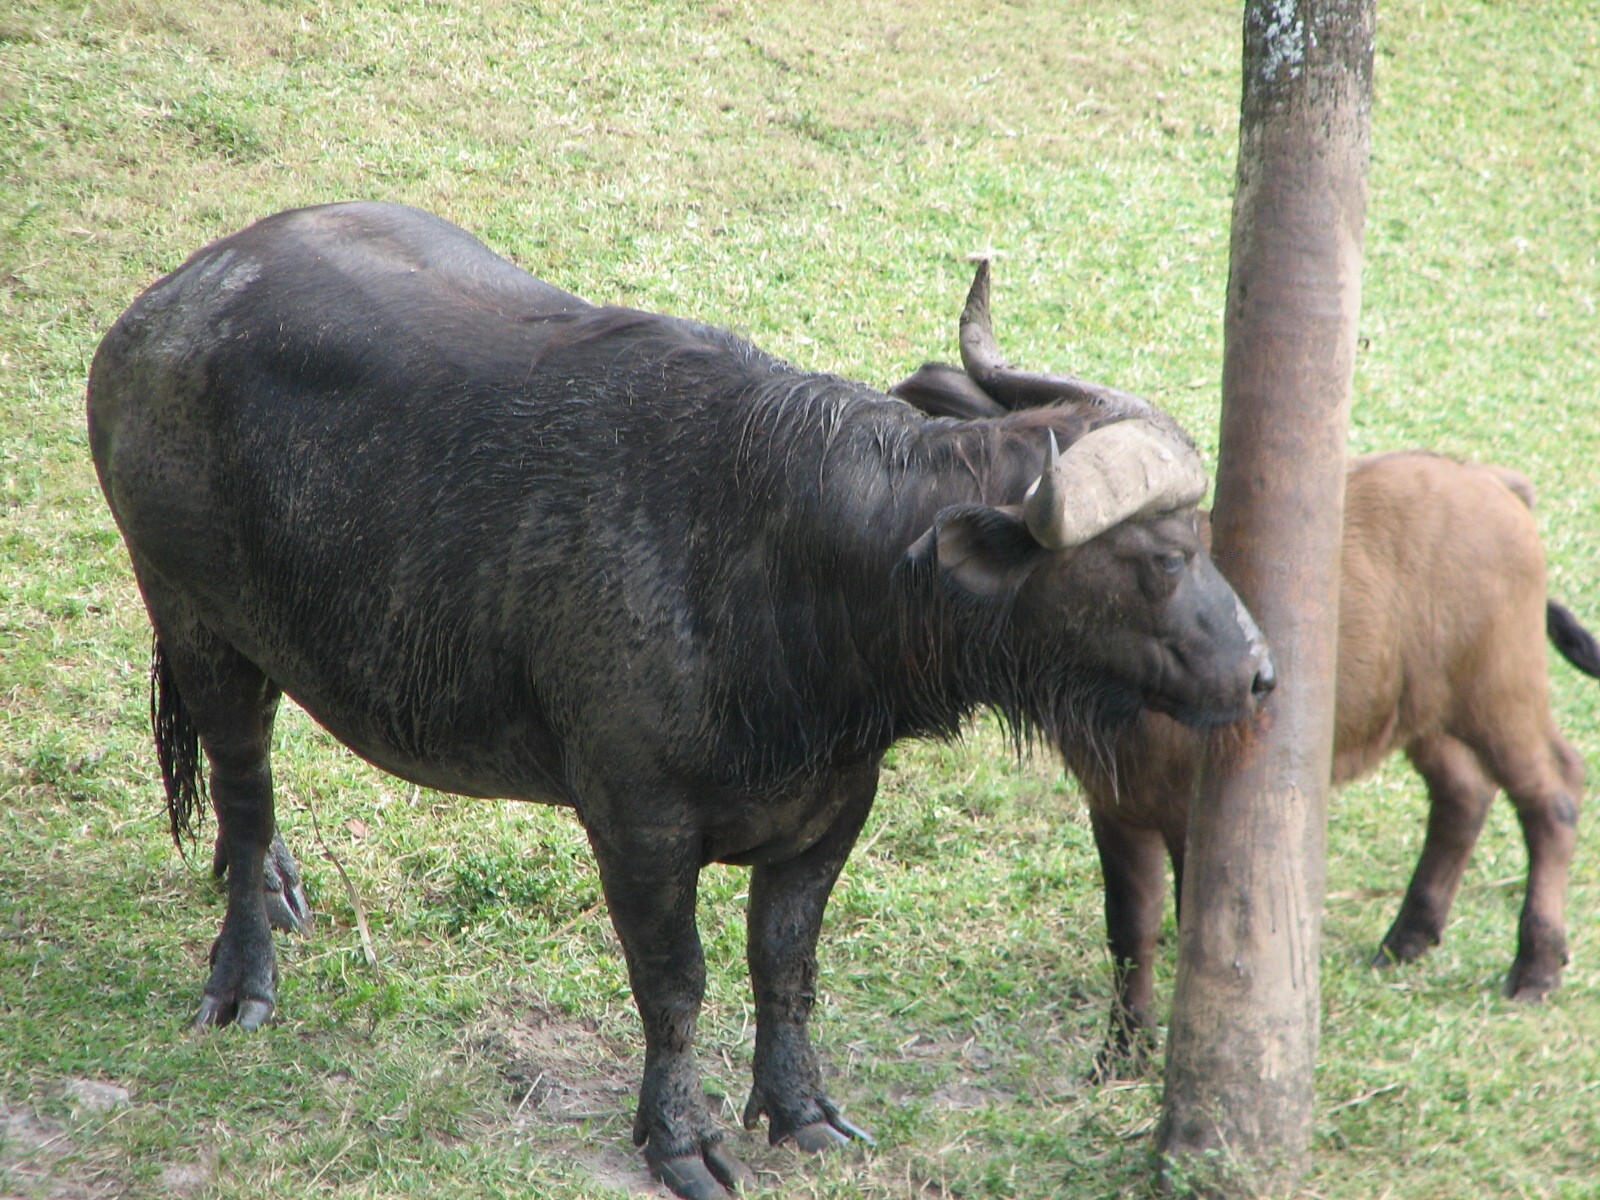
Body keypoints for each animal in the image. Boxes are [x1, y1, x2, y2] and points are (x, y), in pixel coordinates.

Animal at [87, 203, 1272, 1199]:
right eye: (1158, 560)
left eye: (1201, 534)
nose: (1260, 673)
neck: (780, 565)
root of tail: (156, 314)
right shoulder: (637, 823)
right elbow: (676, 984)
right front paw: (680, 1138)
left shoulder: (831, 814)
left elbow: (785, 966)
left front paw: (800, 1111)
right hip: (195, 620)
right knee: (243, 789)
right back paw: (244, 974)